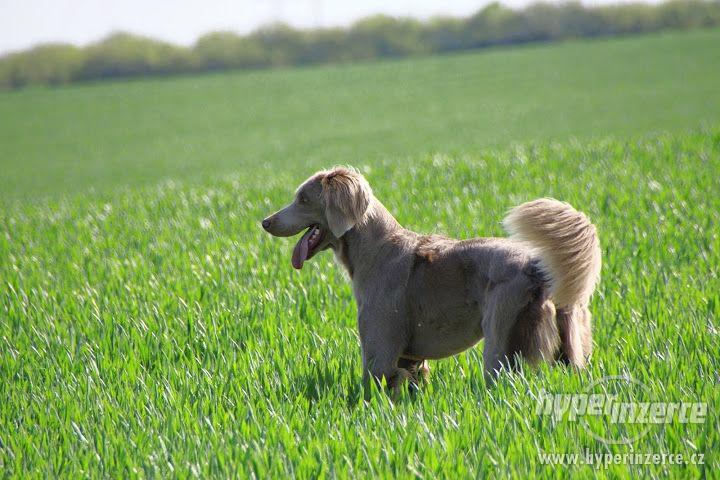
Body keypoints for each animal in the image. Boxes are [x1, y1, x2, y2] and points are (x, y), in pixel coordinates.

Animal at [262, 167, 600, 392]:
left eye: (303, 199)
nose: (265, 222)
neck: (376, 249)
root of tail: (538, 267)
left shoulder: (378, 354)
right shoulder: (409, 357)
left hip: (499, 339)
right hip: (569, 349)